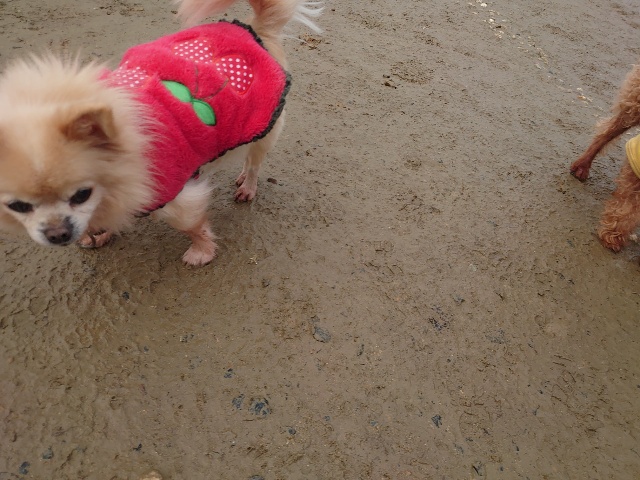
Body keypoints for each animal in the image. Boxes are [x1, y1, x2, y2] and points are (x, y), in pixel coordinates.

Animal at [0, 0, 322, 266]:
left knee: (254, 162)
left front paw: (202, 252)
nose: (58, 234)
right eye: (18, 206)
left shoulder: (174, 194)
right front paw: (99, 233)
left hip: (262, 126)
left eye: (81, 194)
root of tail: (253, 29)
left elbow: (192, 225)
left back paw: (248, 186)